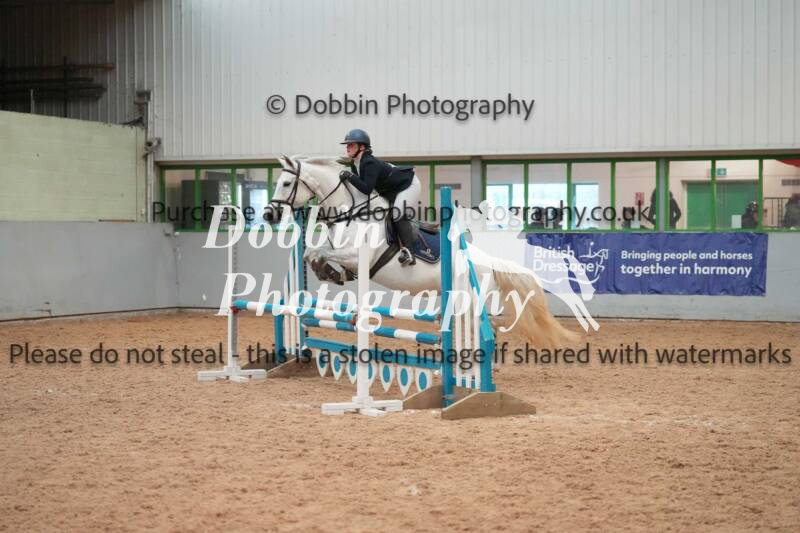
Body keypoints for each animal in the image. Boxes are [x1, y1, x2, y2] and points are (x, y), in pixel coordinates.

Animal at [263, 154, 574, 349]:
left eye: (287, 183)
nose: (269, 215)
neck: (351, 210)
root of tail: (488, 261)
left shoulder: (355, 255)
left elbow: (323, 255)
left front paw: (331, 271)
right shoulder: (338, 250)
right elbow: (311, 254)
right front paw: (329, 273)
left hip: (469, 296)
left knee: (485, 327)